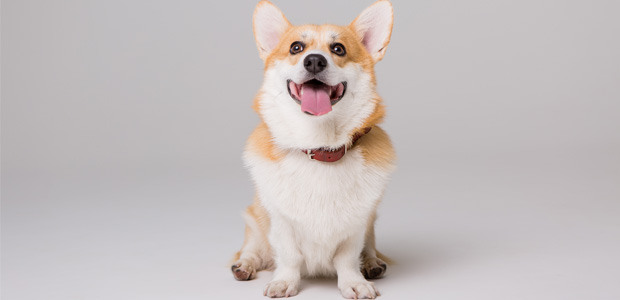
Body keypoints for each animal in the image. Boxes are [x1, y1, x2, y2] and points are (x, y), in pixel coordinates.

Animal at [232, 0, 398, 298]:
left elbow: (347, 257)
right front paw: (285, 282)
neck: (319, 147)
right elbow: (289, 256)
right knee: (251, 249)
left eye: (338, 49)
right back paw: (244, 266)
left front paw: (354, 282)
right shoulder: (280, 222)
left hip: (371, 222)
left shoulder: (357, 225)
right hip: (254, 219)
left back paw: (372, 264)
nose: (314, 60)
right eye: (296, 48)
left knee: (369, 248)